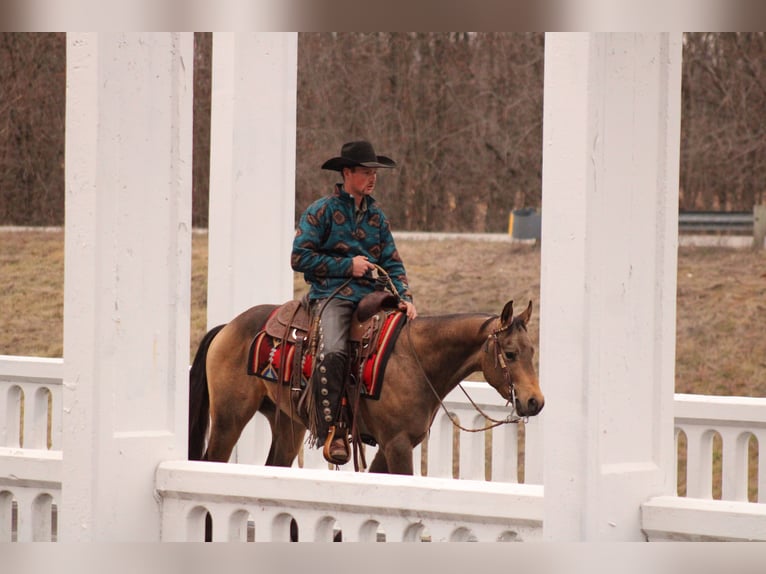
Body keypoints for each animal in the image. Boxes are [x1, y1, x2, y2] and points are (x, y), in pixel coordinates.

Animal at [188, 296, 544, 476]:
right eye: (510, 354)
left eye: (531, 351)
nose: (534, 401)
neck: (415, 360)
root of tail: (227, 327)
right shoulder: (397, 444)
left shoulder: (391, 446)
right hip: (229, 419)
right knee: (211, 460)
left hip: (287, 425)